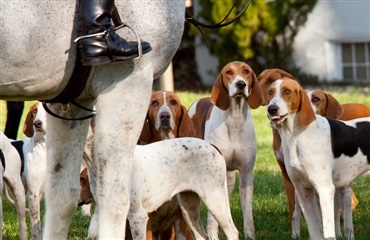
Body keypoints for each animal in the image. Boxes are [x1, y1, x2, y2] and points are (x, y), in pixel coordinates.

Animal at [188, 61, 264, 238]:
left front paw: (249, 235)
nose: (241, 84)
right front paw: (212, 235)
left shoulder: (246, 174)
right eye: (229, 72)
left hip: (227, 178)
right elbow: (212, 216)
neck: (235, 119)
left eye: (246, 71)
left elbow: (247, 211)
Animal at [268, 78, 370, 239]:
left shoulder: (325, 190)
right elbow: (315, 230)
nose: (271, 109)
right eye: (270, 92)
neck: (297, 136)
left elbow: (328, 230)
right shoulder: (303, 192)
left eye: (287, 91)